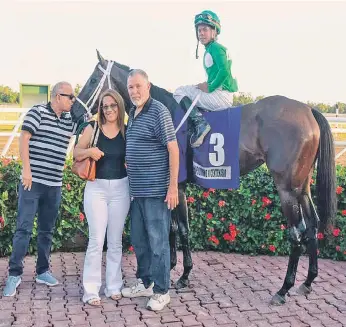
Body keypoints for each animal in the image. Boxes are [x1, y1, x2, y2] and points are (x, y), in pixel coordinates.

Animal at [70, 50, 336, 306]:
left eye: (92, 79)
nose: (74, 112)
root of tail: (308, 110)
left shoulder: (176, 186)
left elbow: (182, 229)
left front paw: (183, 275)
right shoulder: (174, 188)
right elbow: (173, 227)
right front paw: (173, 266)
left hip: (286, 189)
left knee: (297, 232)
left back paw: (283, 289)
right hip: (302, 186)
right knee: (313, 225)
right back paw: (308, 281)